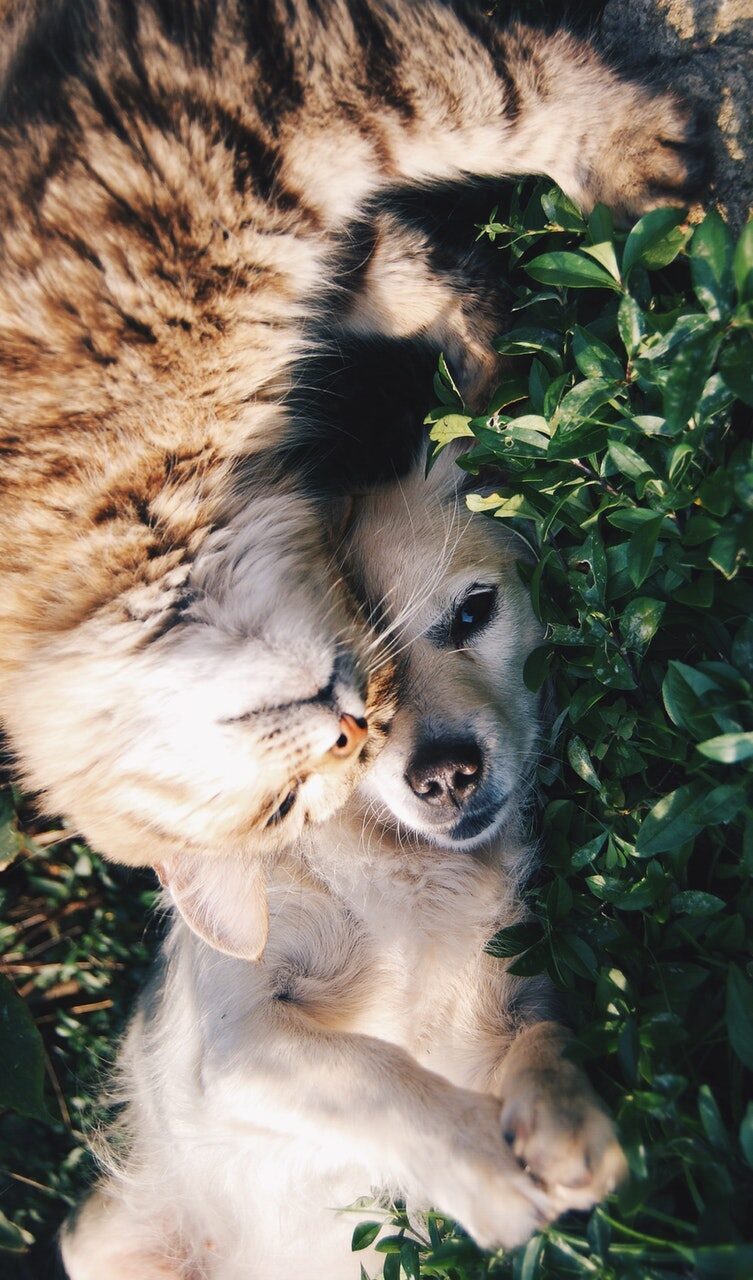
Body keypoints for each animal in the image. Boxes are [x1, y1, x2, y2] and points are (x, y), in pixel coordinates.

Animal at [1, 0, 706, 901]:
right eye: (294, 808)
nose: (355, 726)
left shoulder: (252, 85)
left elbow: (489, 85)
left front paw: (622, 152)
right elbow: (421, 273)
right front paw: (483, 391)